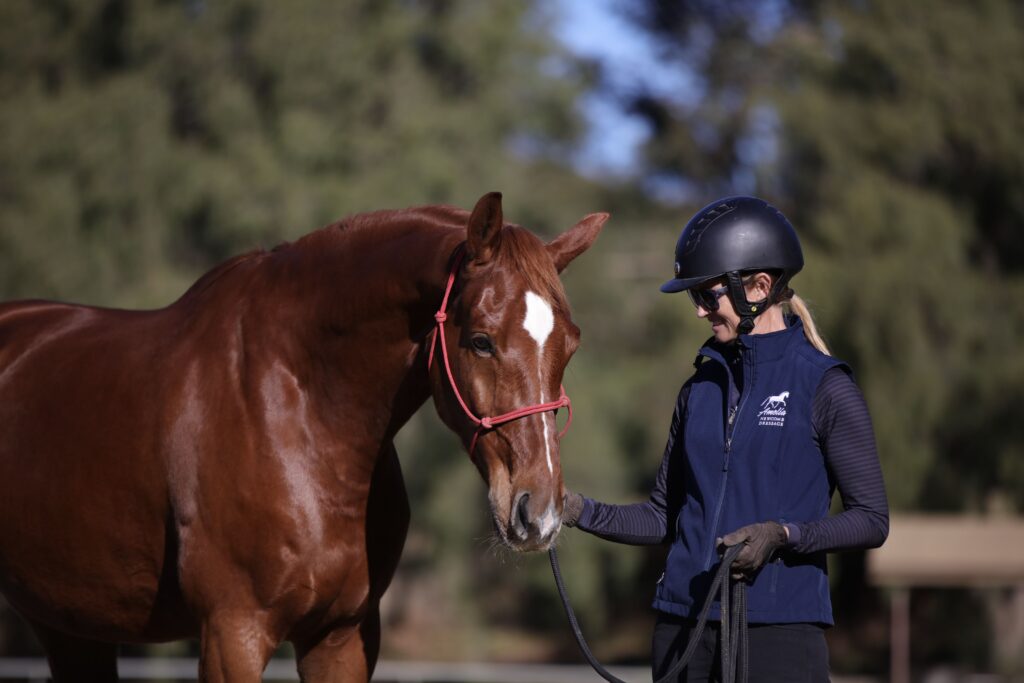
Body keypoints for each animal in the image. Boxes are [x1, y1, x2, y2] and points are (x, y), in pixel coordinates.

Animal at [0, 192, 607, 682]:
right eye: (481, 340)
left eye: (572, 344)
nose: (539, 513)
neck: (302, 416)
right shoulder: (232, 635)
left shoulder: (342, 636)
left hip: (72, 625)